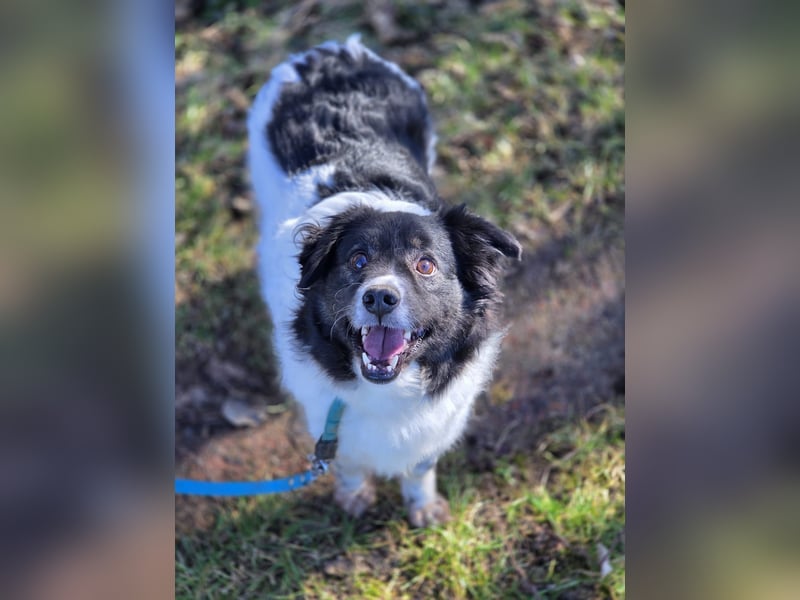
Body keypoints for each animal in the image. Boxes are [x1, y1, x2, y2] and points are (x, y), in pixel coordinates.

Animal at [247, 36, 521, 527]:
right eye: (357, 260)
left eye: (426, 265)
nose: (379, 298)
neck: (390, 387)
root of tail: (333, 50)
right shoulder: (326, 411)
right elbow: (348, 460)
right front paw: (354, 496)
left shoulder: (437, 420)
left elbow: (420, 465)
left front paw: (424, 507)